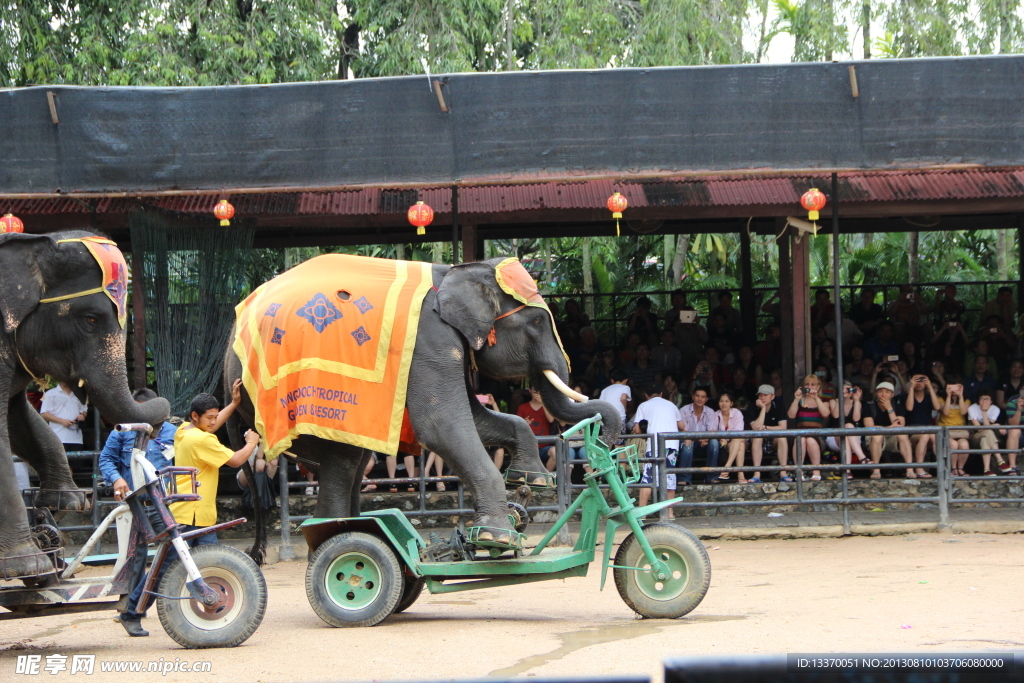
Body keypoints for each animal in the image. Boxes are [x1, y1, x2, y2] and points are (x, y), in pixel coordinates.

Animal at [227, 253, 618, 548]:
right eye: (536, 321)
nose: (608, 438)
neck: (458, 270)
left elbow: (475, 418)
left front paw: (532, 480)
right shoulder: (430, 339)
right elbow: (442, 424)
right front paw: (497, 537)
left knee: (354, 462)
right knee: (344, 460)